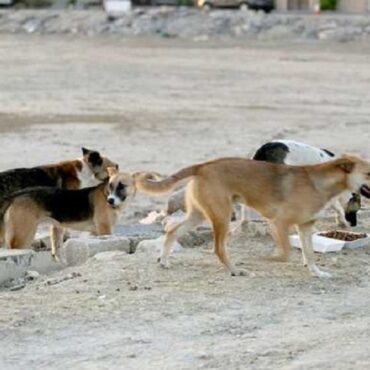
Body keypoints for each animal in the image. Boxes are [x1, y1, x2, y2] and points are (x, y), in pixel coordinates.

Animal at [1, 167, 134, 258]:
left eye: (122, 186)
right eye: (111, 186)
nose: (110, 201)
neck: (105, 193)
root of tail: (15, 195)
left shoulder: (96, 233)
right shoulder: (105, 229)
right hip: (23, 237)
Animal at [134, 153, 370, 278]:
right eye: (368, 172)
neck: (319, 182)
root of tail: (202, 166)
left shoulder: (305, 226)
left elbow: (309, 254)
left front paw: (317, 273)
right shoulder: (279, 223)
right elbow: (285, 254)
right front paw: (268, 259)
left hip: (199, 215)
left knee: (172, 230)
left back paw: (164, 260)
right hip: (221, 217)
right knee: (218, 248)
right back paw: (234, 270)